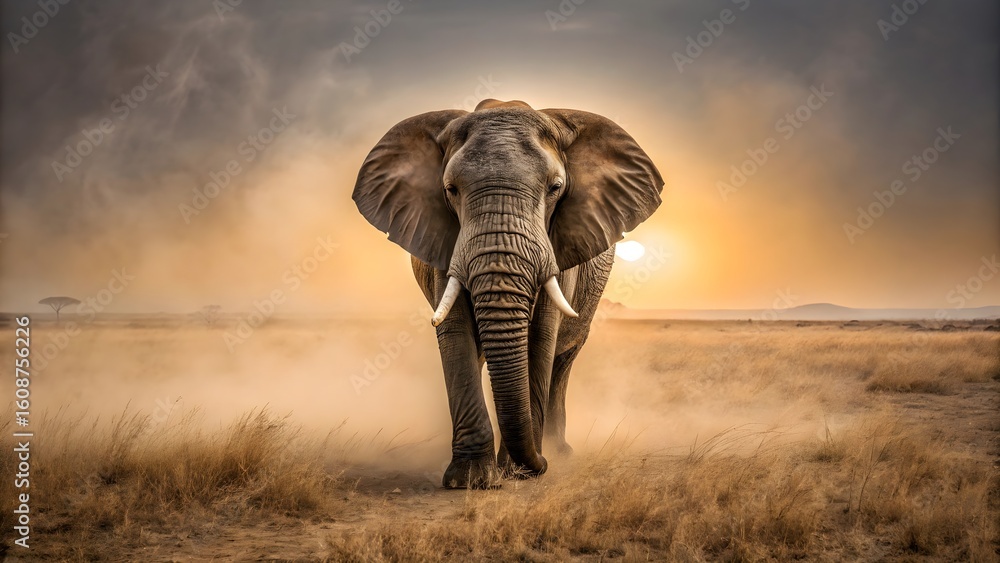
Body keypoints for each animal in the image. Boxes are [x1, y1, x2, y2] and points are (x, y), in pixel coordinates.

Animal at [352, 99, 663, 488]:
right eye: (450, 189)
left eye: (555, 187)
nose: (538, 465)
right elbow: (455, 334)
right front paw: (471, 481)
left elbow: (541, 337)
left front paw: (517, 473)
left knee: (563, 360)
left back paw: (559, 452)